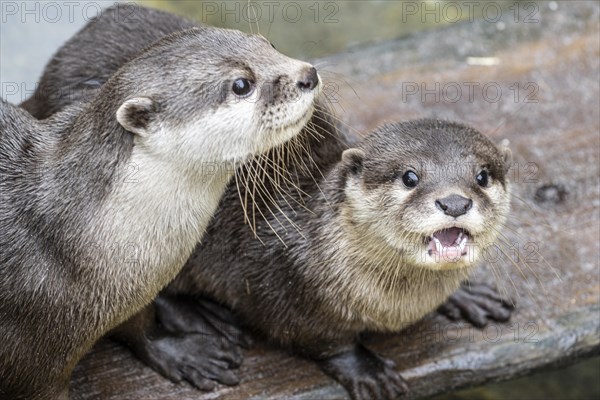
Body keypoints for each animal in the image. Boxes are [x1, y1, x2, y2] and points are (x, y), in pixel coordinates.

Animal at [2, 12, 322, 400]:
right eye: (241, 84)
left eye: (269, 44)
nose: (309, 74)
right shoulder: (31, 358)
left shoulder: (132, 295)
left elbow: (141, 327)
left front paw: (183, 352)